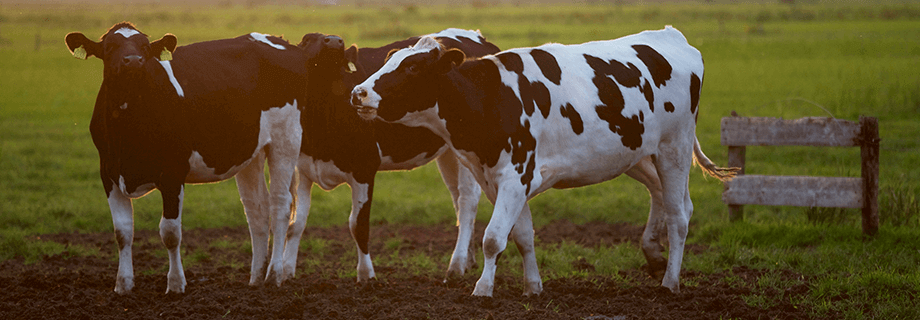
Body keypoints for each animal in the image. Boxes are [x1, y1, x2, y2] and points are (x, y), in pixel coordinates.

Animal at [66, 21, 310, 294]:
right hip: (251, 152)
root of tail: (279, 40)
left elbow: (170, 233)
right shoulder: (108, 172)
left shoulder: (173, 173)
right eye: (110, 47)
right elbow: (122, 232)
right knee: (257, 209)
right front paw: (123, 284)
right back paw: (256, 277)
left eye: (145, 47)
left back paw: (274, 275)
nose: (133, 61)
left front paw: (175, 284)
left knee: (280, 204)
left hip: (286, 139)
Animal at [274, 30, 500, 284]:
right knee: (457, 200)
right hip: (451, 154)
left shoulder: (364, 168)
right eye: (307, 40)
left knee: (467, 201)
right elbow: (296, 223)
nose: (333, 40)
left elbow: (358, 225)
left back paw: (457, 265)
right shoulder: (303, 169)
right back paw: (468, 259)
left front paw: (366, 275)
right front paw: (287, 271)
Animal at [348, 26, 736, 296]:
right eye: (389, 60)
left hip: (674, 147)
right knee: (666, 197)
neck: (492, 97)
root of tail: (672, 36)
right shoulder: (500, 180)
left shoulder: (515, 176)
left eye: (413, 67)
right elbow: (522, 236)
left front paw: (482, 289)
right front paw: (532, 286)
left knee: (679, 216)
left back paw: (670, 282)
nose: (358, 92)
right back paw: (654, 256)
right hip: (637, 153)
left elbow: (493, 238)